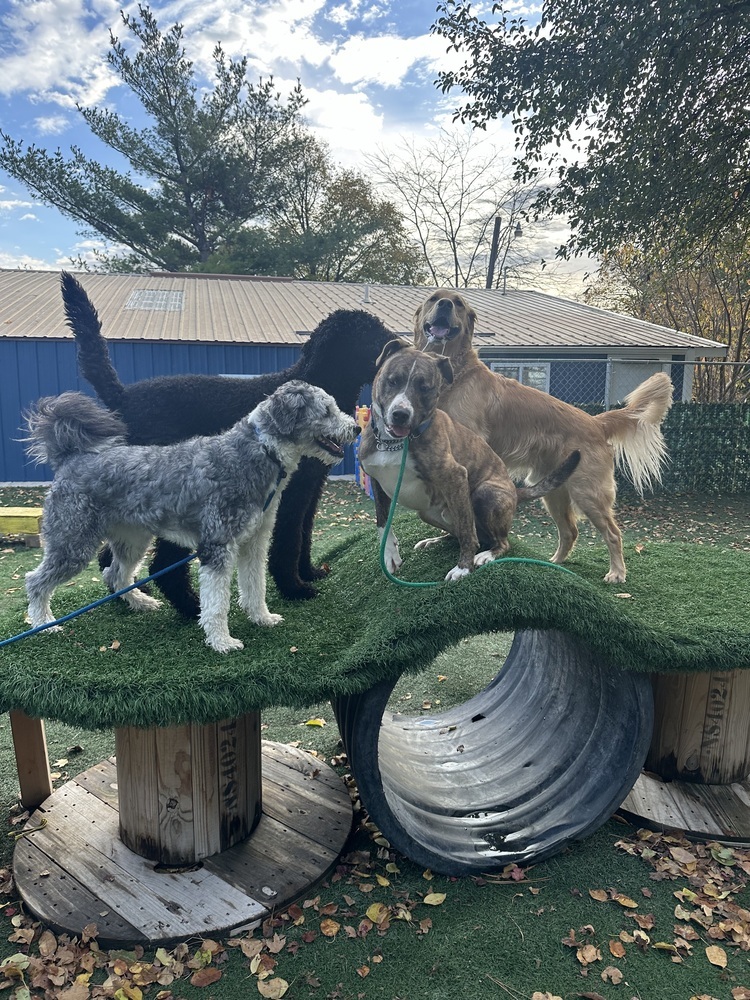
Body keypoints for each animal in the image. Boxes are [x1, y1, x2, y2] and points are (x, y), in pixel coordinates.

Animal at [25, 378, 360, 652]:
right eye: (326, 410)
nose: (356, 427)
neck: (261, 451)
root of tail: (71, 458)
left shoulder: (254, 543)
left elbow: (255, 585)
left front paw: (262, 618)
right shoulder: (217, 547)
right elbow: (217, 603)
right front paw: (222, 642)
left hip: (132, 541)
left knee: (115, 574)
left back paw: (141, 602)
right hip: (73, 544)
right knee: (36, 581)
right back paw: (44, 623)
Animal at [61, 274, 396, 616]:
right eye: (369, 334)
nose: (400, 344)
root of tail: (122, 397)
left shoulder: (310, 489)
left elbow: (303, 535)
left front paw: (308, 572)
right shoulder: (290, 495)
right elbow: (289, 541)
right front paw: (294, 588)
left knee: (113, 558)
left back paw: (131, 597)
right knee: (161, 564)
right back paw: (187, 607)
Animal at [358, 340, 580, 584]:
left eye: (424, 387)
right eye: (393, 380)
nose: (400, 414)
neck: (394, 443)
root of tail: (514, 490)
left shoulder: (455, 477)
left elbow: (467, 531)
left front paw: (463, 568)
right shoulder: (377, 482)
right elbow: (382, 522)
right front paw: (389, 555)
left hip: (486, 494)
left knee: (496, 540)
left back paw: (486, 554)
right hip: (429, 512)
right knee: (467, 535)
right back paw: (436, 540)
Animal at [414, 288, 680, 584]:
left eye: (459, 304)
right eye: (433, 298)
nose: (445, 305)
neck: (455, 373)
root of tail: (595, 421)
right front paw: (443, 538)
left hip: (588, 492)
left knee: (613, 533)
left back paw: (616, 572)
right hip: (553, 492)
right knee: (570, 531)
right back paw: (556, 563)